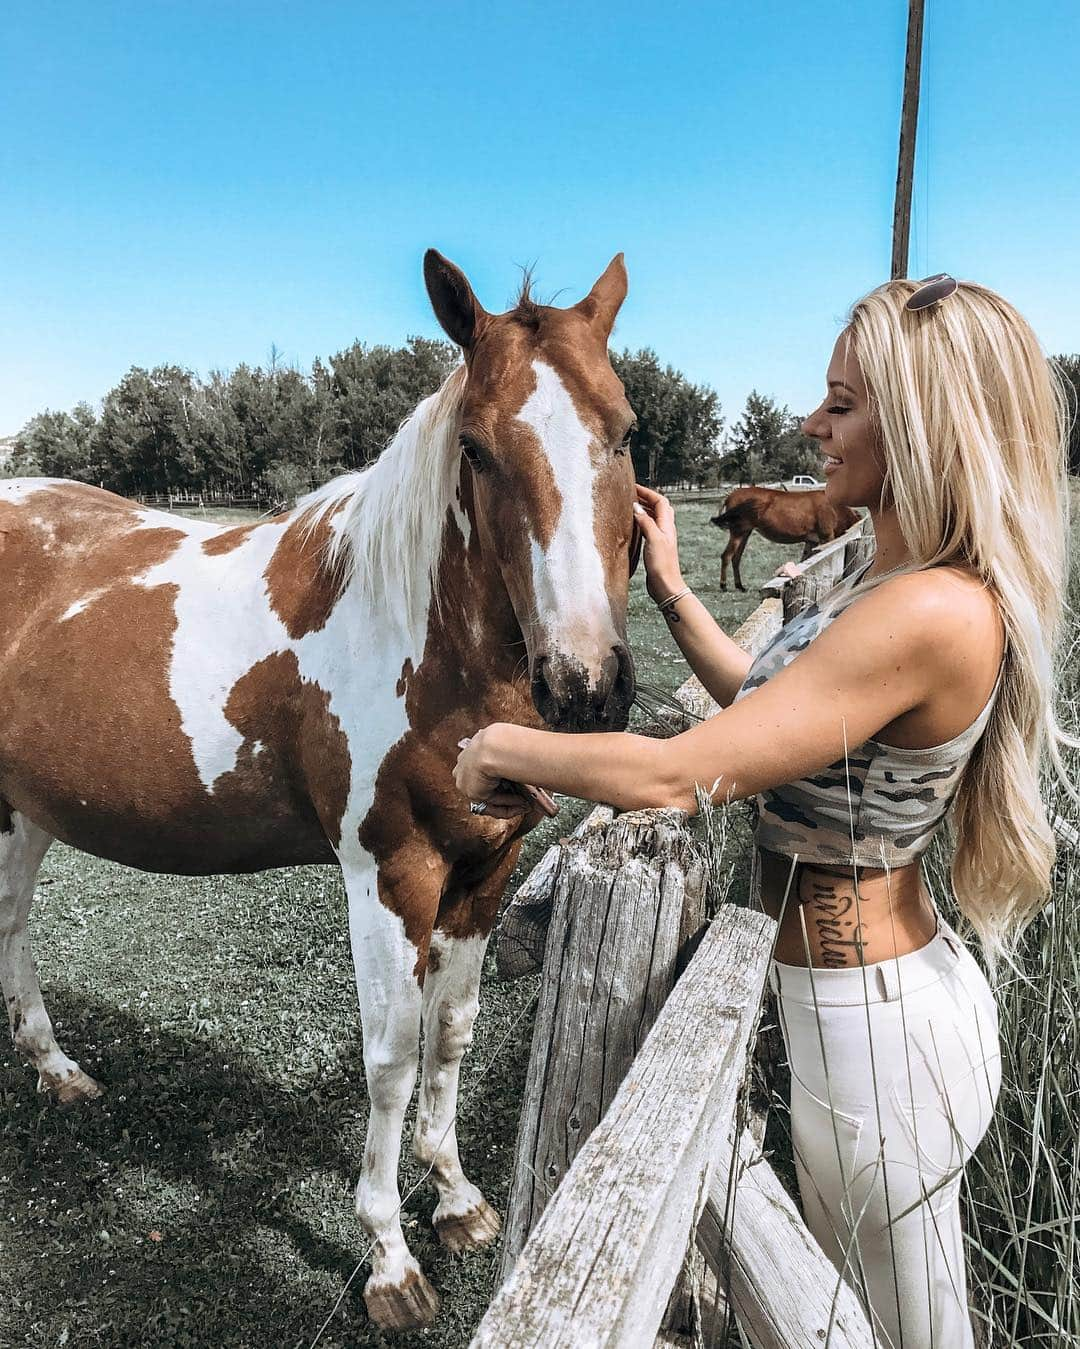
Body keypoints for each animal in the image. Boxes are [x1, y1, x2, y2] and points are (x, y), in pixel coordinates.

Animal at [2, 250, 641, 1327]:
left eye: (627, 429)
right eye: (476, 446)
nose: (585, 679)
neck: (422, 642)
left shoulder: (484, 869)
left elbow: (453, 1031)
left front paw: (456, 1197)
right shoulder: (390, 872)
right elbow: (390, 1054)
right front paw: (388, 1257)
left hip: (27, 809)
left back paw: (57, 1068)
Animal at [711, 485, 857, 590]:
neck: (836, 509)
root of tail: (730, 495)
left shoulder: (811, 541)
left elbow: (805, 561)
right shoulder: (827, 536)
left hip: (745, 532)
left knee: (736, 557)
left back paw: (739, 586)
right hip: (738, 531)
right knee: (727, 556)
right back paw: (723, 585)